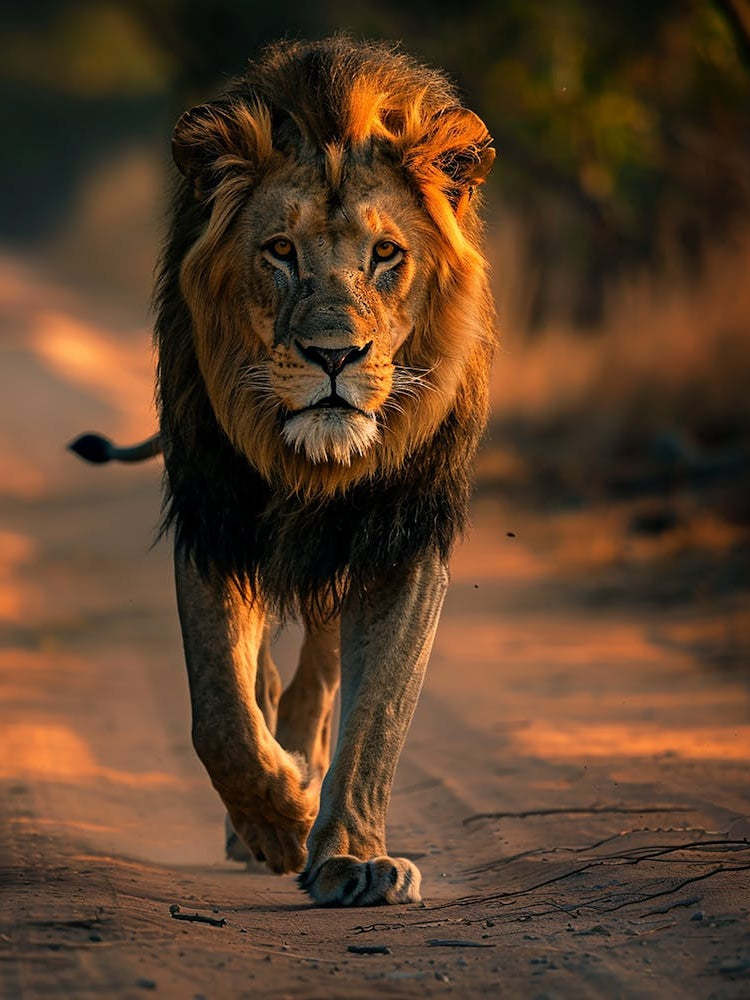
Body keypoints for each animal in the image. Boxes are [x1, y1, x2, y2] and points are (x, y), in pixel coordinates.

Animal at [70, 36, 495, 906]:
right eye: (280, 252)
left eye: (386, 255)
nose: (335, 356)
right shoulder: (215, 520)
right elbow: (220, 713)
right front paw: (279, 821)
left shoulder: (399, 536)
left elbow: (377, 716)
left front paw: (351, 857)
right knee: (260, 682)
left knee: (321, 679)